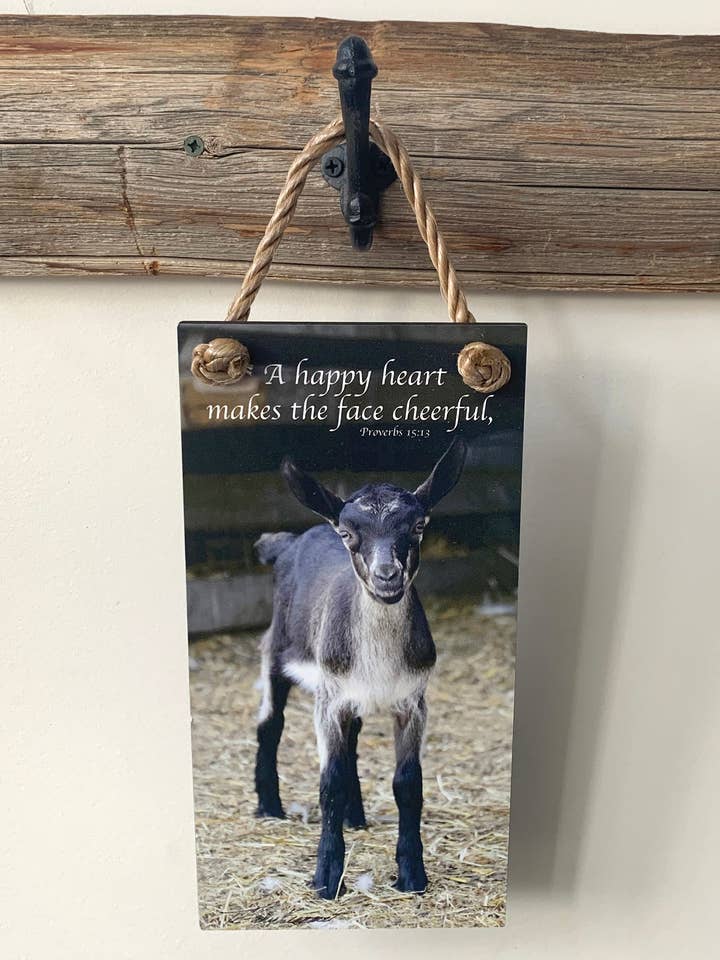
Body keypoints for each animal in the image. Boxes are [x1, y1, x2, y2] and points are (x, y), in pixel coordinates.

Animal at [253, 439, 467, 899]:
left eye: (418, 525)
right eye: (348, 533)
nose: (388, 576)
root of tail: (287, 543)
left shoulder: (412, 702)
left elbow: (408, 784)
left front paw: (412, 875)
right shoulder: (329, 700)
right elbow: (329, 782)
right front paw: (326, 878)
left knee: (351, 741)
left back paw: (356, 816)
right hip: (277, 650)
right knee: (270, 723)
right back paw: (268, 806)